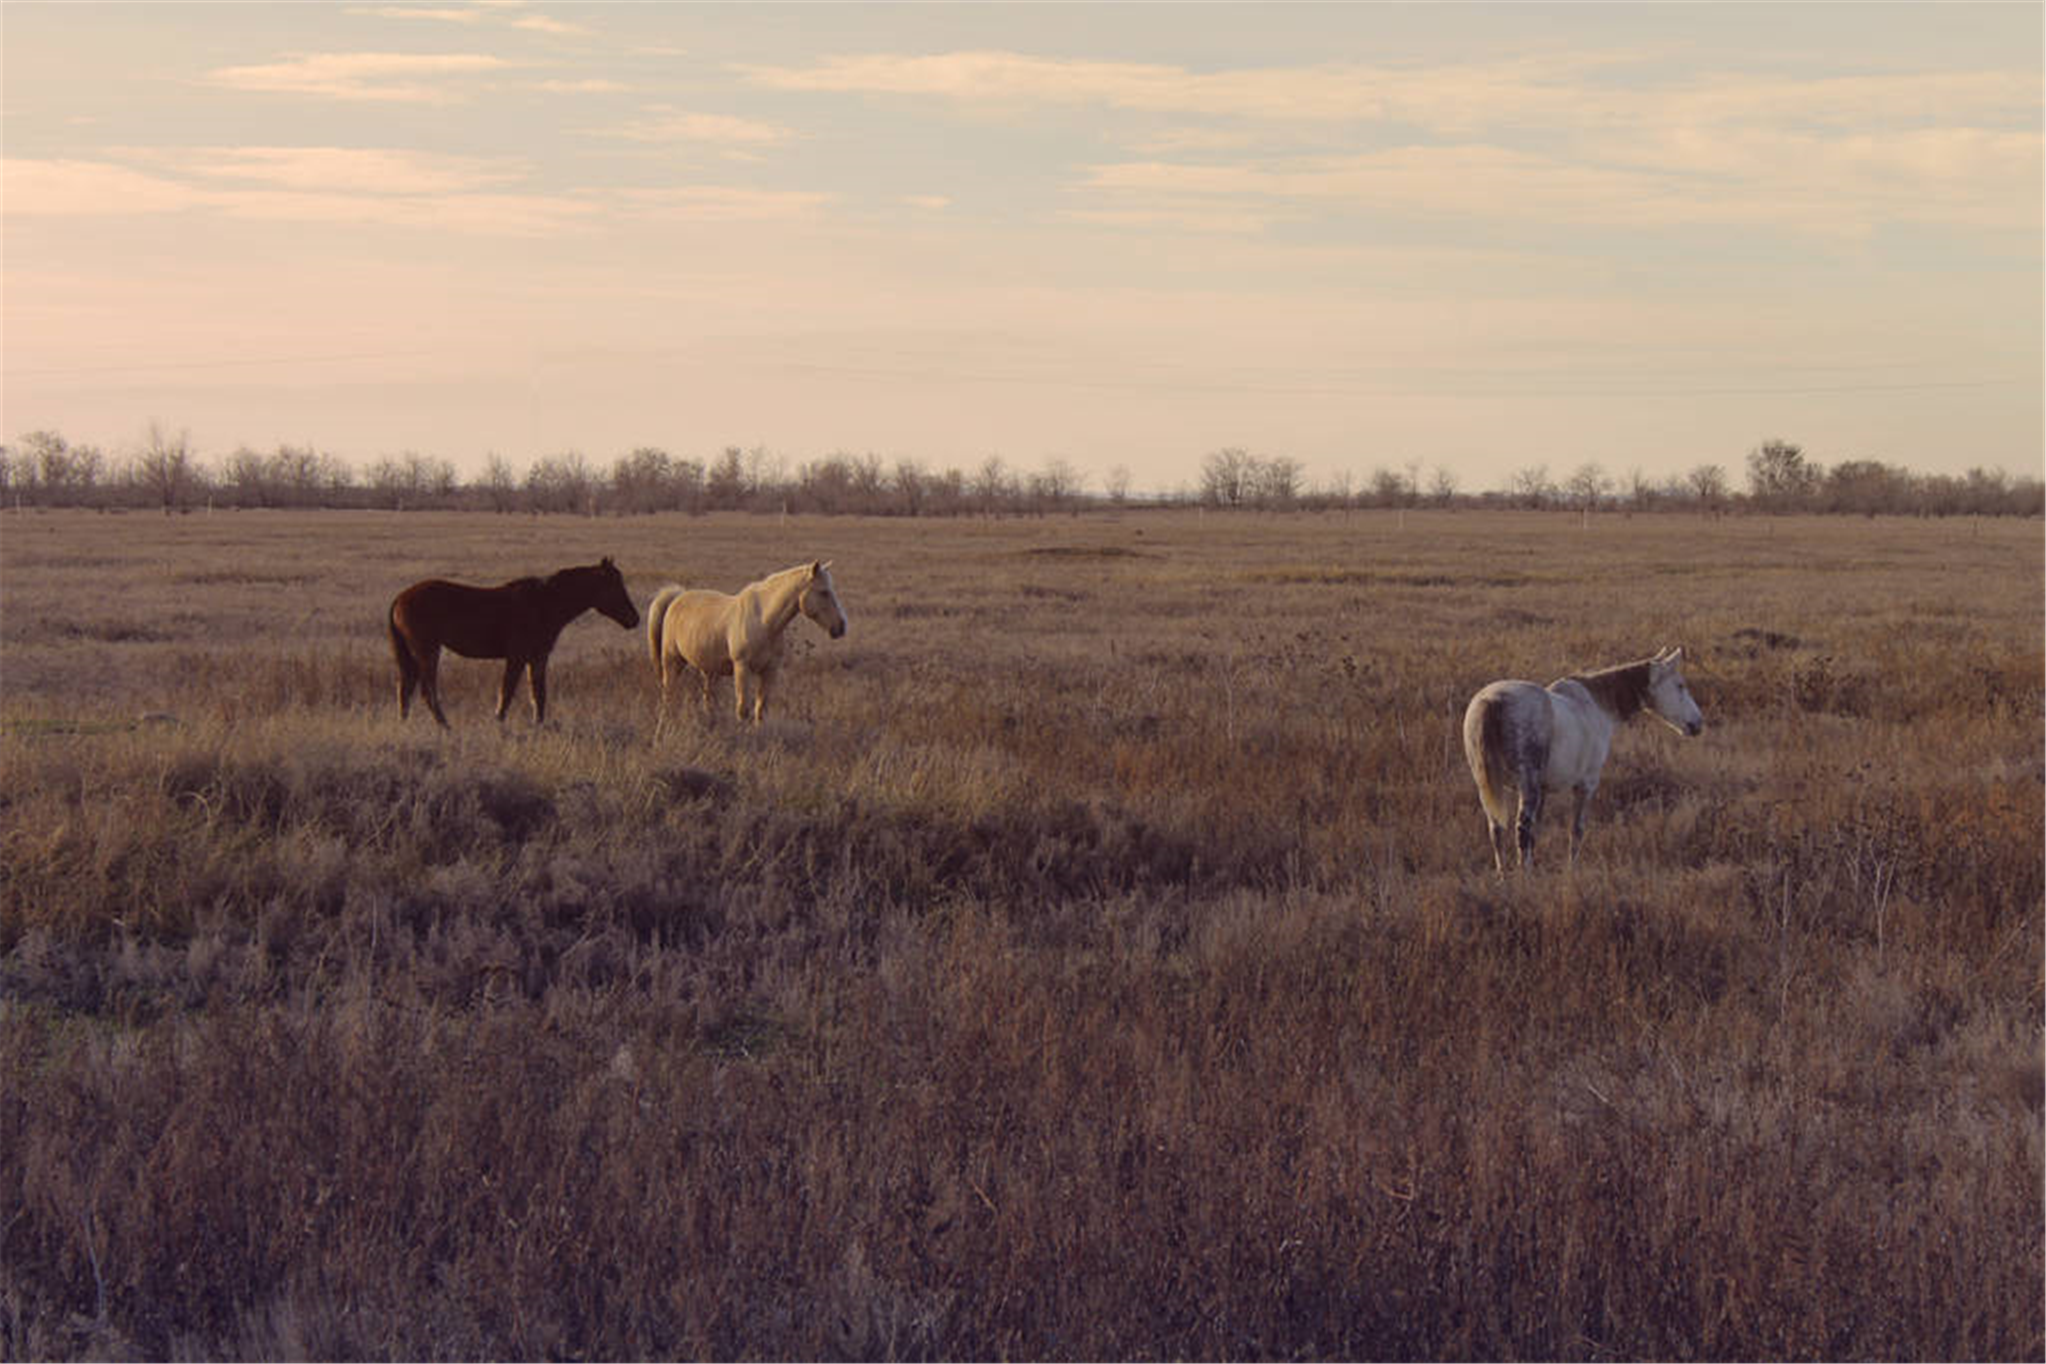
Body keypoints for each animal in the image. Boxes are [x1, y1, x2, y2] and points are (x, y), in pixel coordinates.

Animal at [384, 556, 638, 723]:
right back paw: (446, 728)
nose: (634, 618)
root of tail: (400, 597)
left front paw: (539, 726)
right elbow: (506, 693)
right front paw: (499, 724)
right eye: (614, 585)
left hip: (414, 655)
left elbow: (539, 695)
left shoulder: (537, 658)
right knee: (426, 692)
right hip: (428, 652)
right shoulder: (517, 657)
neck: (544, 603)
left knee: (405, 689)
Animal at [650, 556, 851, 723]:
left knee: (708, 699)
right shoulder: (742, 668)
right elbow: (742, 709)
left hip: (710, 671)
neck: (764, 622)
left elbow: (760, 710)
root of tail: (677, 597)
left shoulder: (769, 670)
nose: (841, 627)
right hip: (672, 661)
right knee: (669, 694)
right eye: (823, 592)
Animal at [1464, 650, 1702, 875]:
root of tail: (1493, 700)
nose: (1698, 723)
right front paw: (1571, 869)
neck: (1597, 704)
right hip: (1527, 785)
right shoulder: (1586, 785)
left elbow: (1536, 832)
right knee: (1521, 830)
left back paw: (1503, 876)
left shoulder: (1543, 790)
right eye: (1680, 685)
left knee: (1496, 829)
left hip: (1487, 786)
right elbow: (1576, 830)